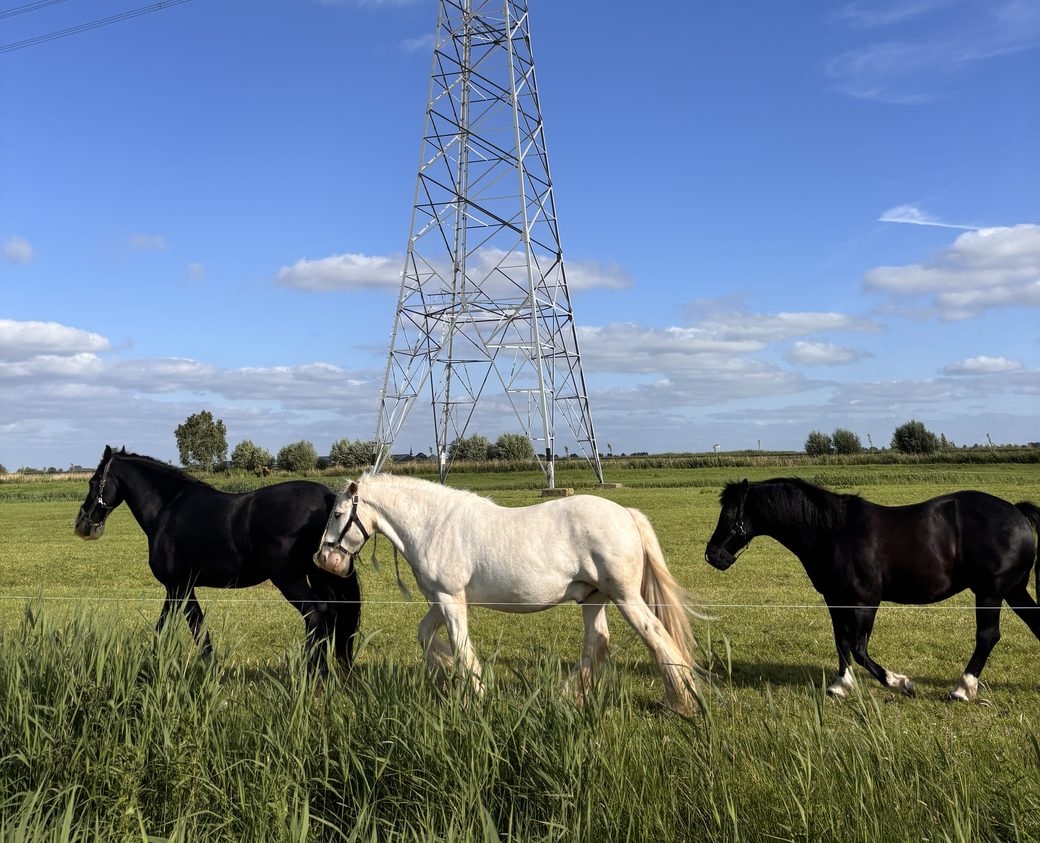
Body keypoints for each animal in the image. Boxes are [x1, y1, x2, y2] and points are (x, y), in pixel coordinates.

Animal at [74, 446, 361, 677]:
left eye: (94, 481)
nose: (83, 525)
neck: (167, 509)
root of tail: (326, 498)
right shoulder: (180, 587)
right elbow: (182, 627)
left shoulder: (178, 586)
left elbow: (188, 628)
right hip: (319, 575)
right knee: (332, 614)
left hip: (289, 579)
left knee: (316, 613)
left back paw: (313, 673)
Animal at [314, 473, 699, 715]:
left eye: (338, 513)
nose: (325, 559)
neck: (433, 526)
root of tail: (627, 514)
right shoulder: (442, 599)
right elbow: (426, 636)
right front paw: (445, 676)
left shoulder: (451, 598)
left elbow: (461, 646)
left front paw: (476, 694)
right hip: (593, 598)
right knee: (597, 642)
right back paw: (566, 697)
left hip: (624, 597)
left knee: (655, 636)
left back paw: (680, 703)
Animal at [704, 477, 1040, 701]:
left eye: (729, 515)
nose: (713, 556)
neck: (832, 532)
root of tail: (1018, 513)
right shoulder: (835, 600)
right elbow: (841, 642)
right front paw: (840, 685)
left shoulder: (865, 601)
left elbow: (859, 647)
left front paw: (899, 682)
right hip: (1013, 591)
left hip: (990, 592)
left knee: (987, 636)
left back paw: (961, 688)